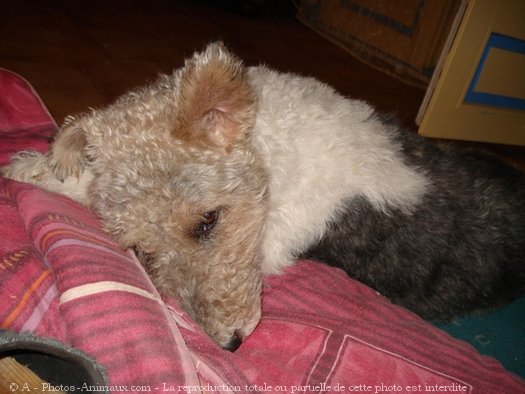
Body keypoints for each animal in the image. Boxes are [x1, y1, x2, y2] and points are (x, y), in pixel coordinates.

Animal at [1, 43, 524, 350]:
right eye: (141, 249)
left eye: (209, 220)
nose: (230, 343)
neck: (269, 145)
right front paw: (33, 164)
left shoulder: (274, 237)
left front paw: (32, 165)